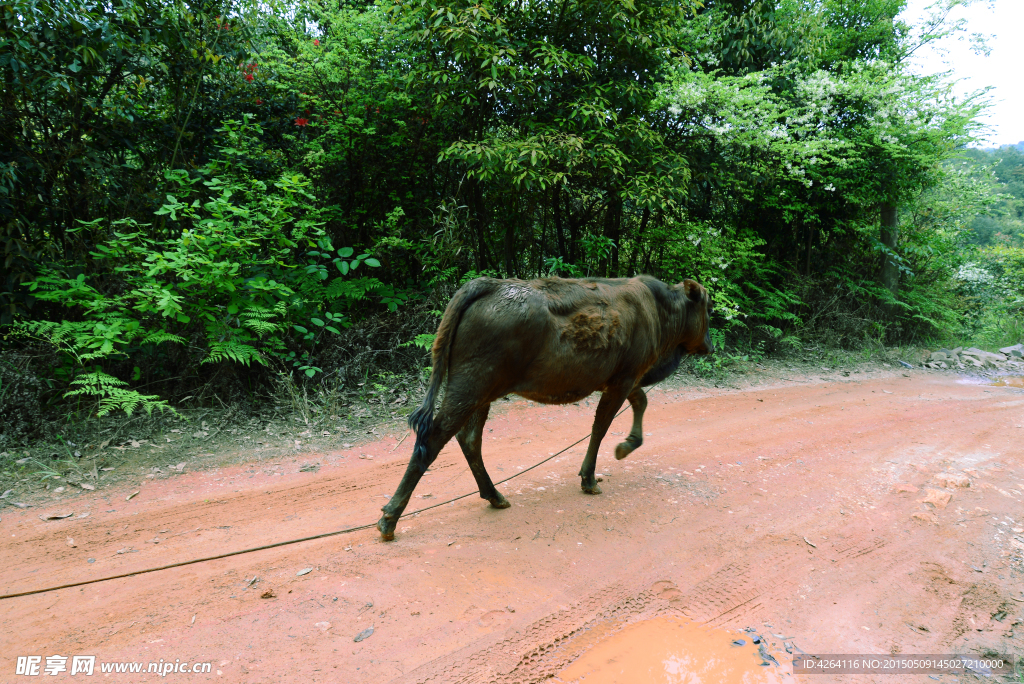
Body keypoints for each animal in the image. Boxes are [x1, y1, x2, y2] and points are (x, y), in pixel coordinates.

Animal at [376, 274, 712, 540]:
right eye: (707, 308)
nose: (709, 345)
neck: (658, 308)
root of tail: (489, 283)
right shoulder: (624, 379)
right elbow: (601, 427)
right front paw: (592, 477)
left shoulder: (623, 379)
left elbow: (639, 402)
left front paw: (625, 446)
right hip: (469, 387)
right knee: (433, 439)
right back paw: (389, 519)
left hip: (480, 394)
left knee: (469, 440)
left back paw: (494, 496)